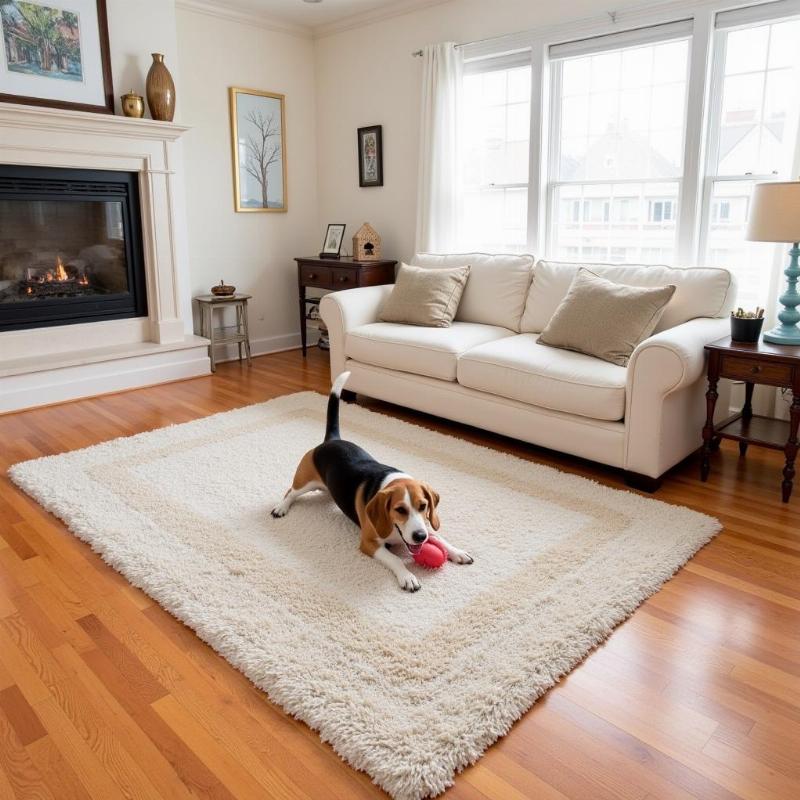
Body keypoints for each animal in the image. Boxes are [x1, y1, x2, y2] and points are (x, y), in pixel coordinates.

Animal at [272, 372, 472, 592]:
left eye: (423, 506)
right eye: (400, 510)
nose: (420, 537)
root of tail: (332, 440)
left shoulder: (425, 525)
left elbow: (441, 538)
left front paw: (457, 551)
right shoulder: (369, 543)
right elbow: (396, 559)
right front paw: (407, 576)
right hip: (306, 481)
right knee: (291, 492)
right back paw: (281, 507)